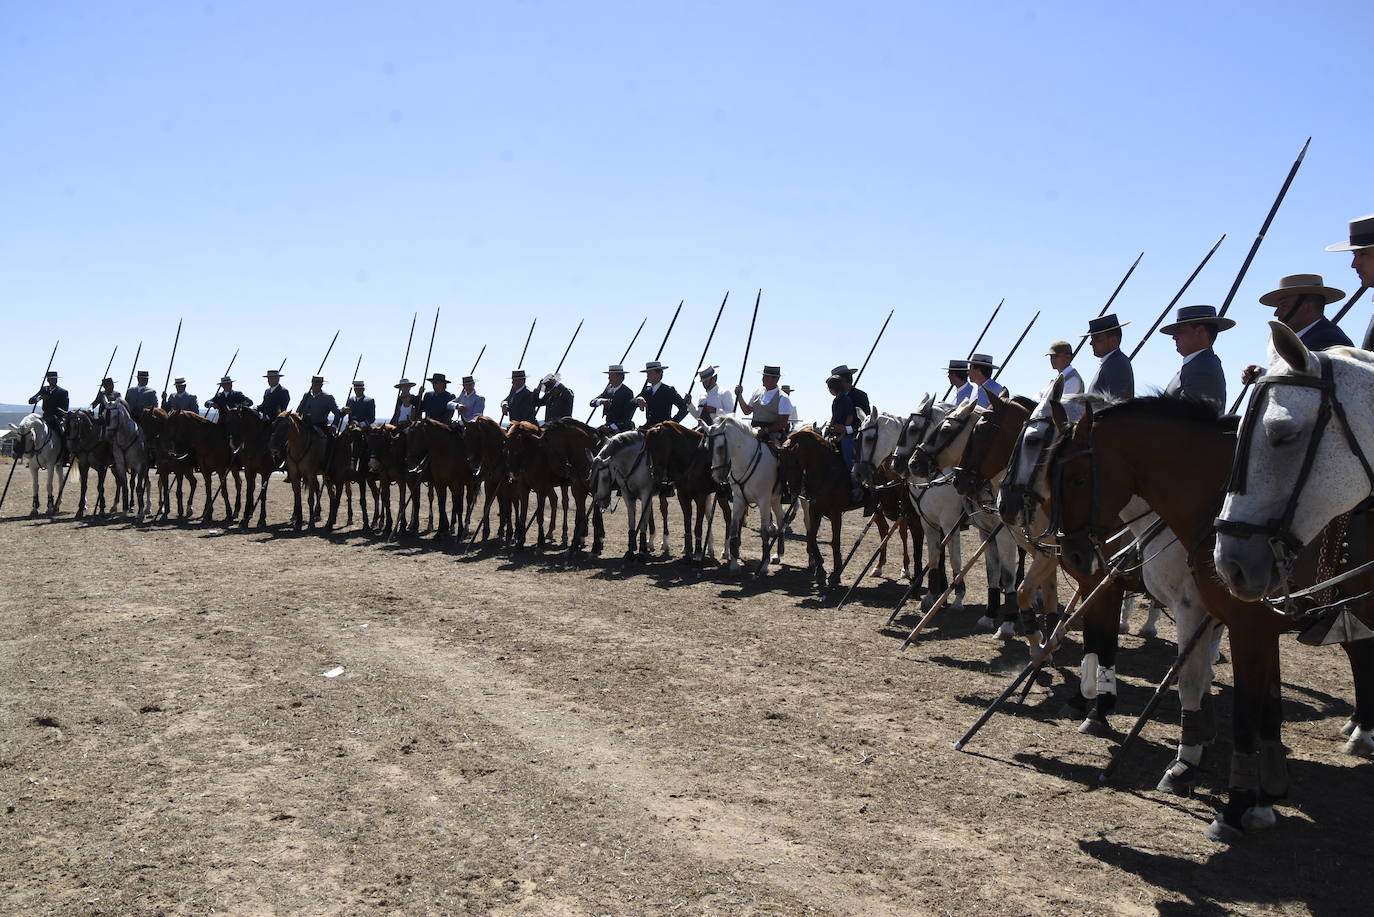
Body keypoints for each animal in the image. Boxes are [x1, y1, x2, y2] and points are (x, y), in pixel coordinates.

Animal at [588, 434, 656, 563]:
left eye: (604, 478)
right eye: (591, 476)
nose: (601, 502)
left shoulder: (646, 494)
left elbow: (643, 521)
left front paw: (642, 552)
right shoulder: (627, 495)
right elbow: (631, 521)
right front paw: (630, 551)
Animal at [640, 420, 730, 563]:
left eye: (659, 447)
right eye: (648, 447)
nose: (655, 475)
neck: (691, 460)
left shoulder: (700, 497)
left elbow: (697, 527)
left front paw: (697, 552)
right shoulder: (683, 496)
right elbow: (687, 524)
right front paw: (688, 551)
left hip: (722, 495)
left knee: (728, 516)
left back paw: (726, 551)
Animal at [708, 415, 785, 574]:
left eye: (720, 447)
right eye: (707, 446)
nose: (717, 476)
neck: (745, 461)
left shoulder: (763, 501)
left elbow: (764, 532)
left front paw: (764, 565)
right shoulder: (739, 500)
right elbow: (733, 528)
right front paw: (734, 563)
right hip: (775, 499)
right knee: (781, 520)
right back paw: (778, 554)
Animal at [1038, 398, 1374, 841]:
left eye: (1077, 479)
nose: (1074, 555)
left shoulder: (1232, 622)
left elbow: (1231, 703)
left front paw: (1232, 804)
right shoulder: (1240, 624)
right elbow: (1258, 706)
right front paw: (1260, 793)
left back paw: (1361, 733)